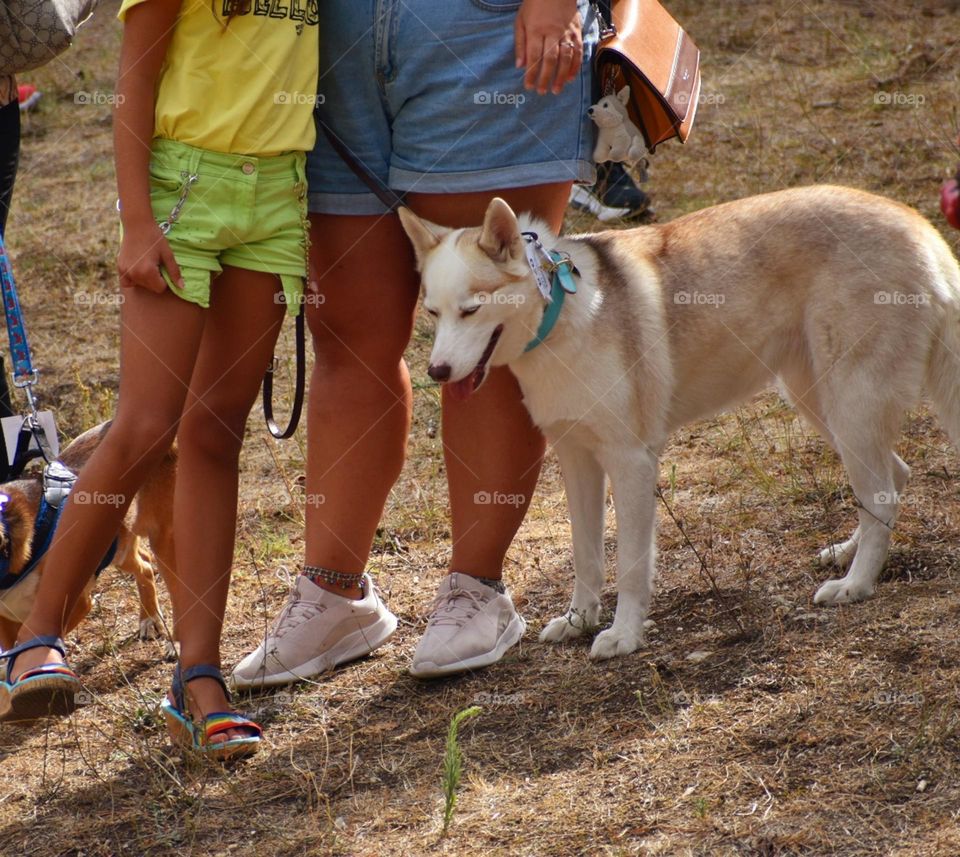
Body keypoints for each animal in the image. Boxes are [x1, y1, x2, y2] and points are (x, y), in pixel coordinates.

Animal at [398, 186, 960, 656]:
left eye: (472, 310)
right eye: (432, 313)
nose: (437, 372)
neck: (560, 318)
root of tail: (919, 227)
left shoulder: (630, 462)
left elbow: (629, 566)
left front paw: (623, 635)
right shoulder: (577, 461)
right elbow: (585, 558)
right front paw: (579, 621)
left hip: (847, 404)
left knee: (882, 492)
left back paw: (857, 584)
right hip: (818, 401)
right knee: (892, 478)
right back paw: (848, 553)